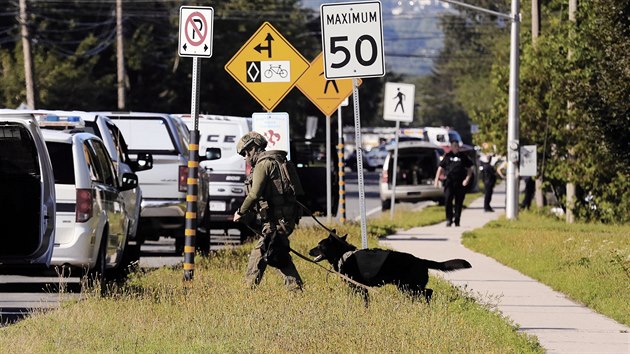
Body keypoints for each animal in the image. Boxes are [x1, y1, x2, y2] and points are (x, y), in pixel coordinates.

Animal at [308, 234, 472, 306]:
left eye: (320, 245)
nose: (309, 251)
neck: (344, 254)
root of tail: (419, 260)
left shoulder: (359, 287)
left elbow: (364, 301)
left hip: (409, 286)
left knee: (428, 293)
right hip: (407, 287)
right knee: (427, 293)